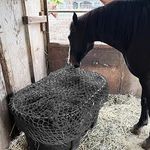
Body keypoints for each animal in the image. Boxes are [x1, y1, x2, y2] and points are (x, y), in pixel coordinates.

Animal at [68, 0, 150, 149]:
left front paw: (147, 139)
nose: (71, 62)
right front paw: (139, 126)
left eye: (70, 36)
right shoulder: (144, 78)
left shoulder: (146, 77)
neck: (136, 30)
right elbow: (144, 101)